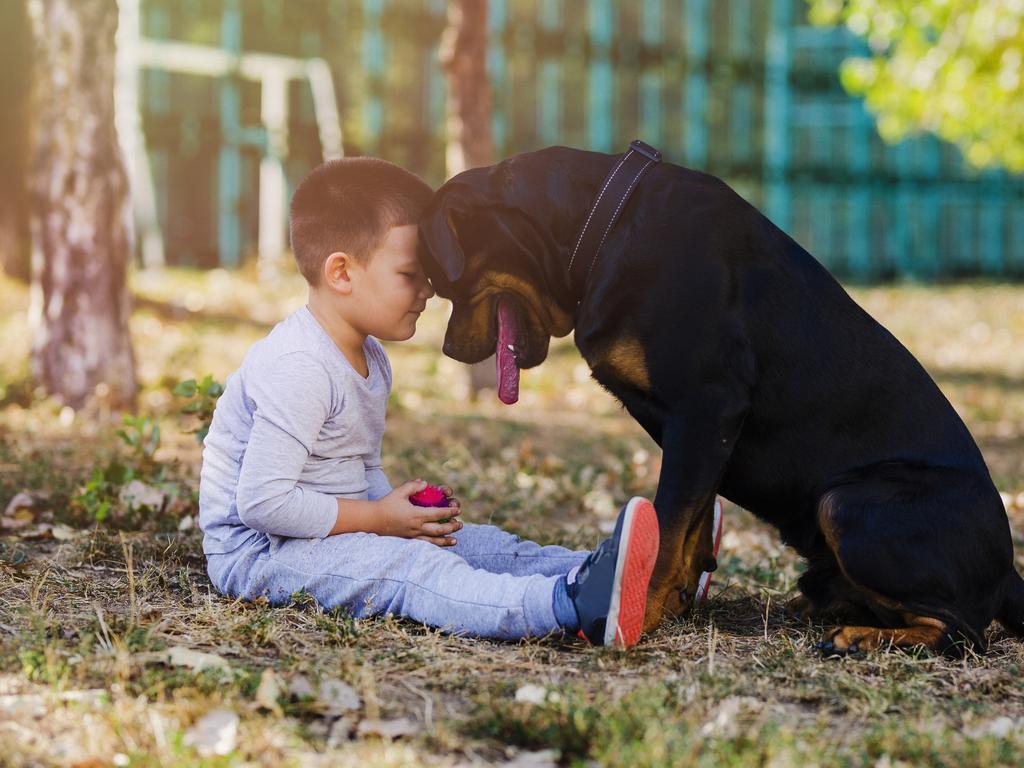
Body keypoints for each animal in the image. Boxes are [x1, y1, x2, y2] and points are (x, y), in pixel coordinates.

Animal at [417, 144, 1024, 655]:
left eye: (441, 284)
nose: (446, 349)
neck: (603, 229)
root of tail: (1008, 572)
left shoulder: (706, 407)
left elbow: (668, 525)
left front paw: (639, 611)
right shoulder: (701, 430)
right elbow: (689, 522)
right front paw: (675, 602)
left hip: (849, 504)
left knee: (962, 629)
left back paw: (860, 636)